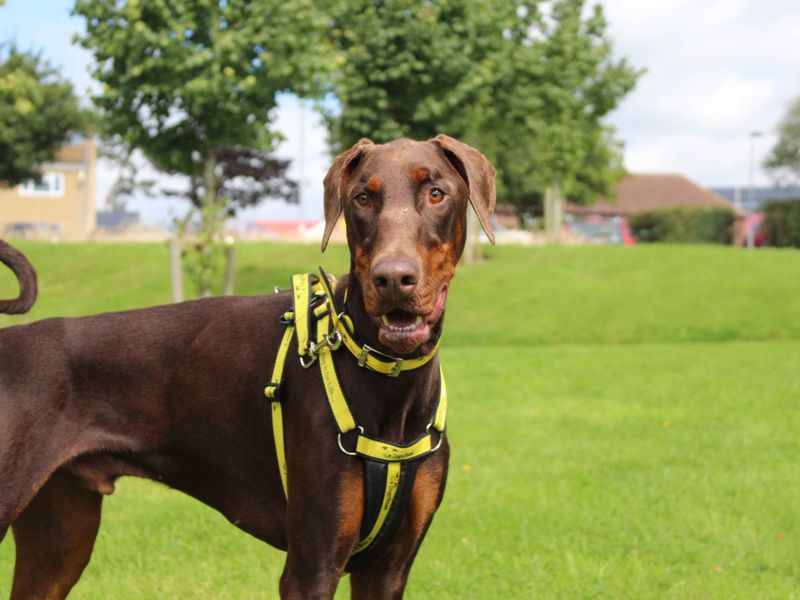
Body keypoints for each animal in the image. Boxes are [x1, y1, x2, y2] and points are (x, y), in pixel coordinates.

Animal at [0, 136, 494, 600]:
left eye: (436, 192)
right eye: (362, 197)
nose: (392, 279)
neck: (389, 378)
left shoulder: (389, 569)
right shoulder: (311, 566)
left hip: (60, 538)